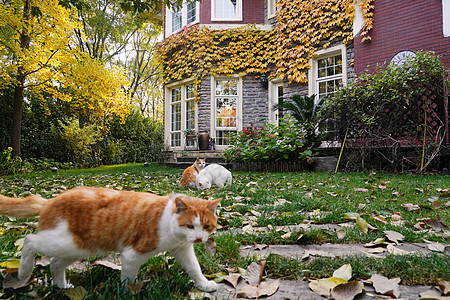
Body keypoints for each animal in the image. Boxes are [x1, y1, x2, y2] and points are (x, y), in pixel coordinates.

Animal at [0, 188, 220, 290]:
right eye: (190, 226)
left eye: (206, 226)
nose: (199, 239)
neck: (167, 219)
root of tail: (50, 201)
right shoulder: (132, 254)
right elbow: (127, 280)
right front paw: (127, 293)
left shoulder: (182, 249)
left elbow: (194, 268)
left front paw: (204, 285)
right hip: (64, 243)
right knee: (29, 240)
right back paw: (23, 271)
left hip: (78, 248)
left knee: (55, 263)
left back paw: (62, 287)